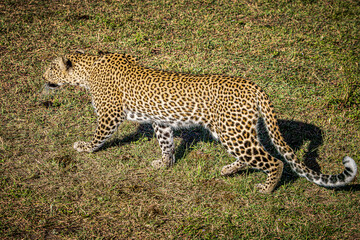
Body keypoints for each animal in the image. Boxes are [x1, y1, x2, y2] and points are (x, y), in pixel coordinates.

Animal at [43, 50, 358, 193]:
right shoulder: (161, 121)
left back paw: (266, 189)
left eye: (50, 68)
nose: (41, 77)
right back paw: (229, 170)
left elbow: (98, 136)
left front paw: (84, 147)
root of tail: (254, 86)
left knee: (274, 160)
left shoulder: (110, 115)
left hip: (231, 132)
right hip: (239, 130)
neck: (86, 70)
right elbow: (166, 143)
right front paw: (165, 164)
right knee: (254, 155)